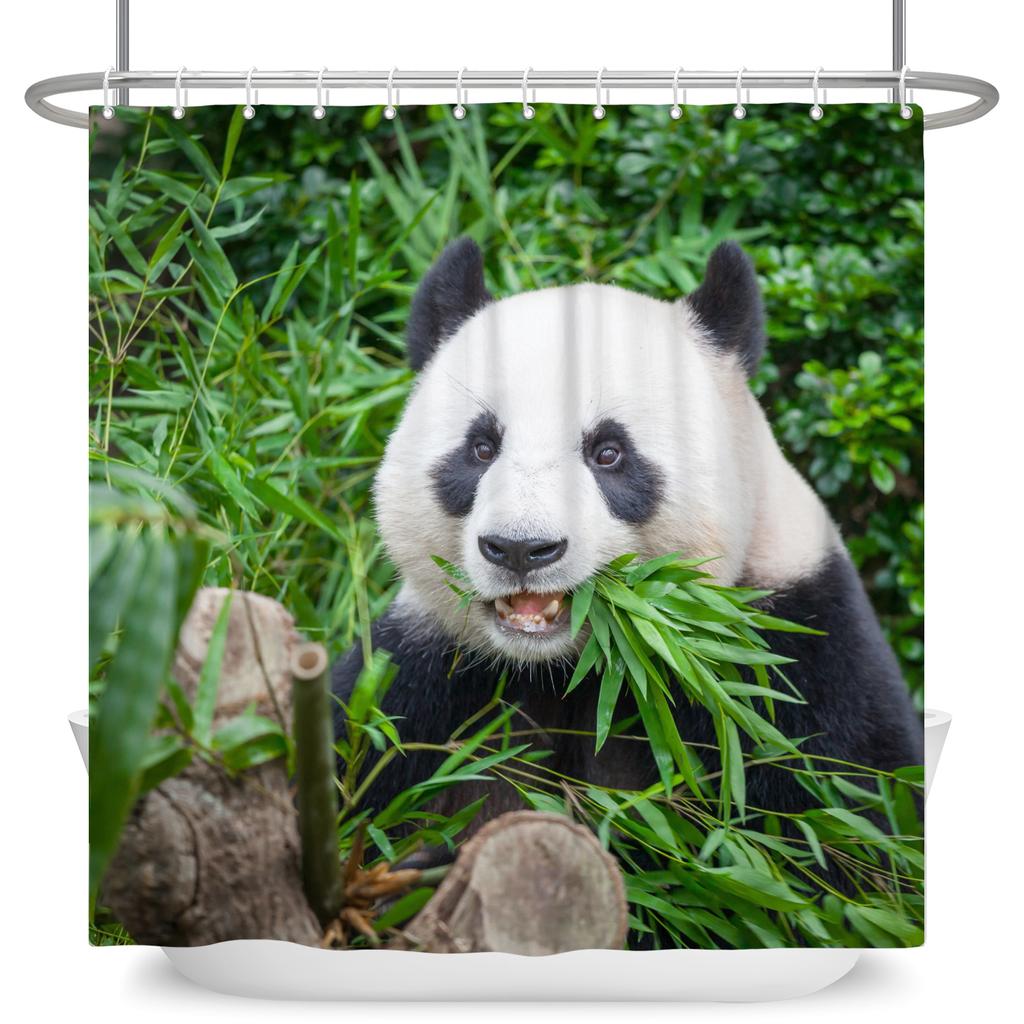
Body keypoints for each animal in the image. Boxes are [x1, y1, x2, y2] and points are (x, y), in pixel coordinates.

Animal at [332, 236, 922, 831]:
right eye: (480, 448)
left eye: (609, 452)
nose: (521, 548)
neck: (574, 667)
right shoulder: (423, 677)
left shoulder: (790, 649)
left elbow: (839, 799)